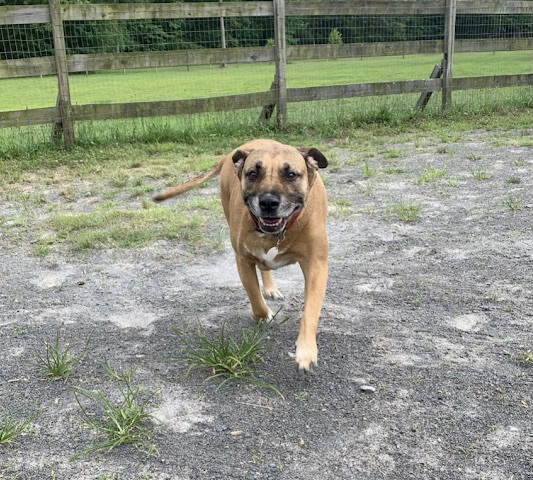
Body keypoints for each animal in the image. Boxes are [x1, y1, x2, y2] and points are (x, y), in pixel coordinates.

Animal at [154, 139, 328, 372]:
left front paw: (306, 351)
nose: (268, 202)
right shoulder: (243, 260)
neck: (276, 234)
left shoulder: (316, 265)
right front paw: (264, 316)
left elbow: (310, 311)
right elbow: (255, 299)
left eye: (291, 174)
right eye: (252, 173)